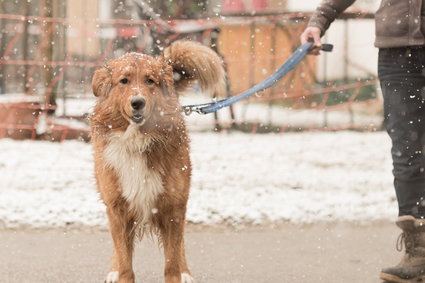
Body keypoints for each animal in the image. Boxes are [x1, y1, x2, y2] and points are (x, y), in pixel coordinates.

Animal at [90, 40, 225, 283]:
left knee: (180, 245)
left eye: (149, 80)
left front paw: (179, 274)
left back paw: (185, 273)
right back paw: (113, 270)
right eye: (124, 81)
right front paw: (119, 272)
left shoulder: (172, 208)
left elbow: (172, 262)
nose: (138, 102)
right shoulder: (117, 209)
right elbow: (125, 262)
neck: (137, 140)